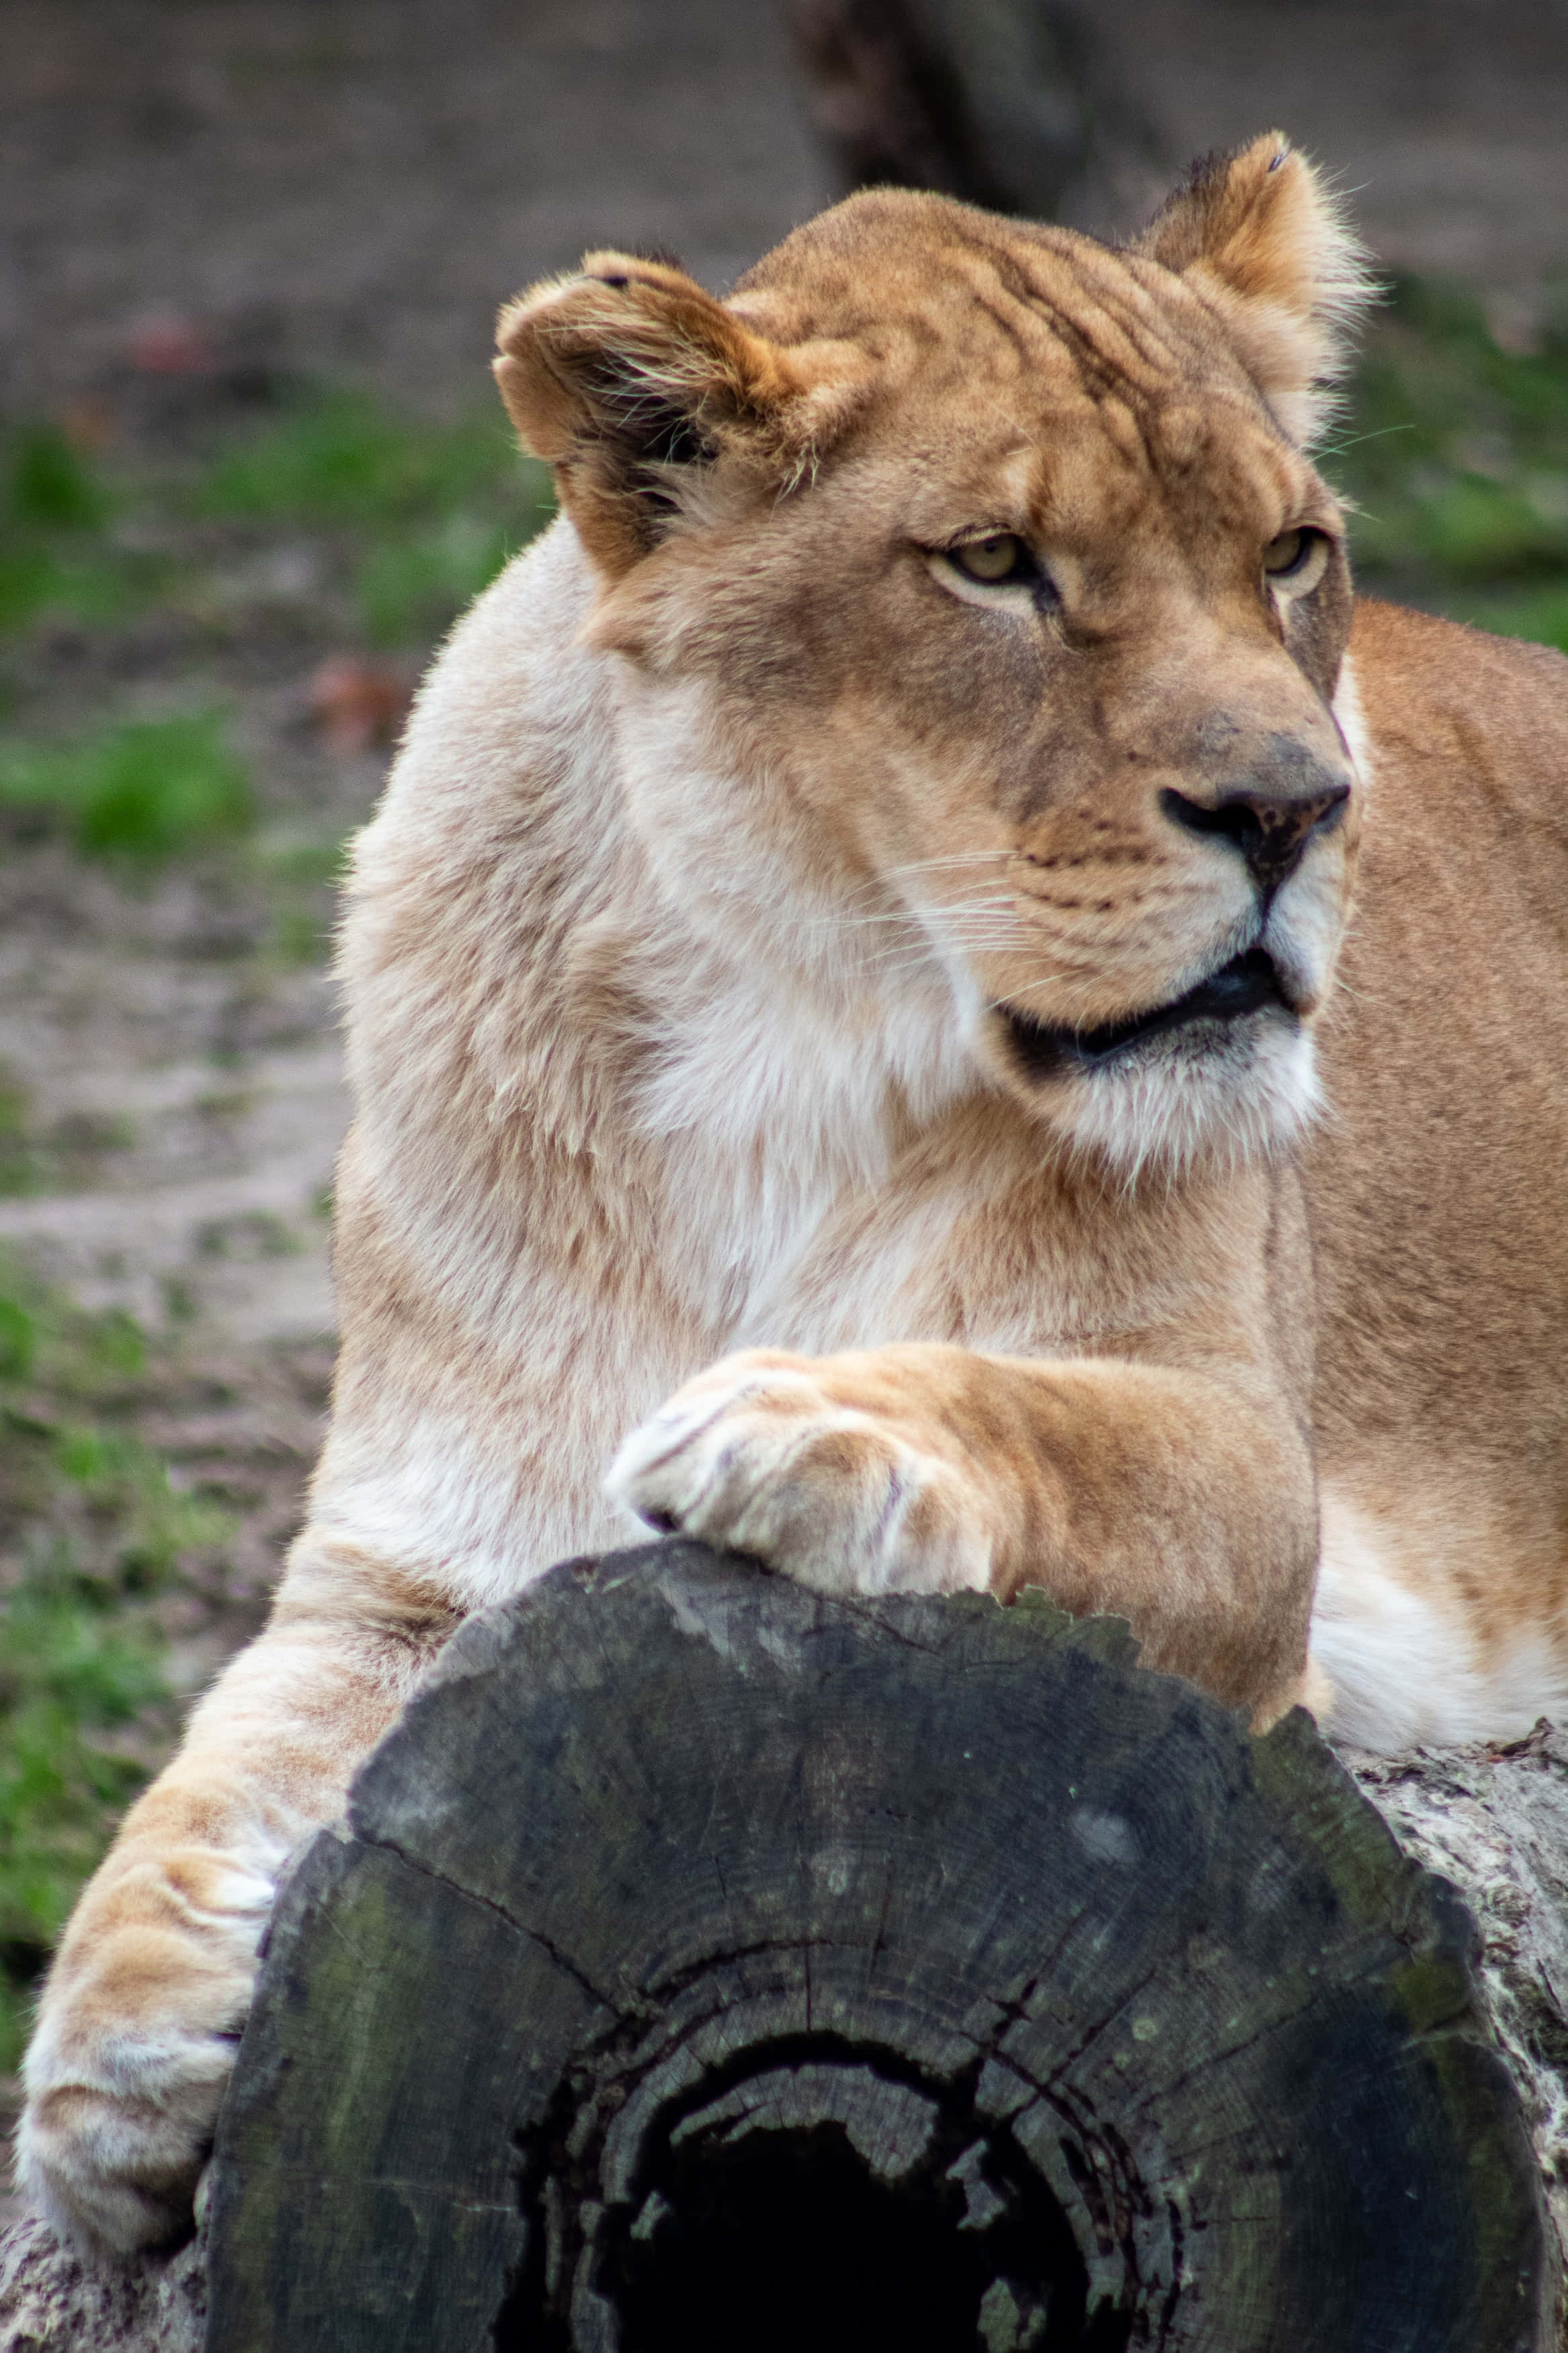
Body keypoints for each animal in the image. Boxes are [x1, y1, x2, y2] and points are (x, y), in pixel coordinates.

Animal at [17, 134, 1568, 2255]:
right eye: (993, 564)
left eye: (1287, 555)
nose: (1295, 808)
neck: (782, 1036)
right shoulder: (409, 1550)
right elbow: (217, 1762)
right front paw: (117, 2068)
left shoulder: (1259, 1474)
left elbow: (1039, 1417)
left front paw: (804, 1426)